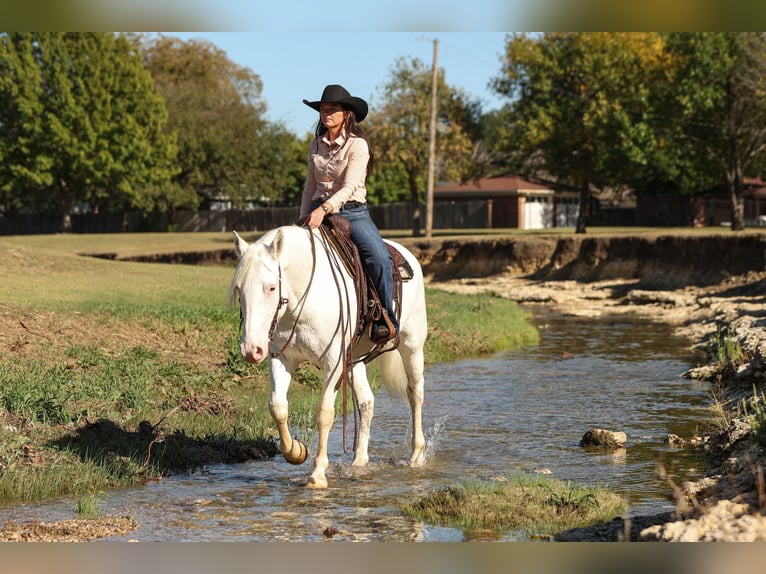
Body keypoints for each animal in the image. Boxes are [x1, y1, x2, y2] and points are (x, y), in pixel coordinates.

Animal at [228, 227, 432, 488]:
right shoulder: (281, 358)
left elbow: (324, 413)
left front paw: (317, 475)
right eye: (239, 289)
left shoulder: (333, 363)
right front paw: (296, 451)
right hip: (354, 360)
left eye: (271, 288)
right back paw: (359, 461)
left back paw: (416, 455)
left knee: (415, 394)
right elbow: (278, 407)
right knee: (366, 402)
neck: (303, 299)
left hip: (412, 345)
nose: (251, 349)